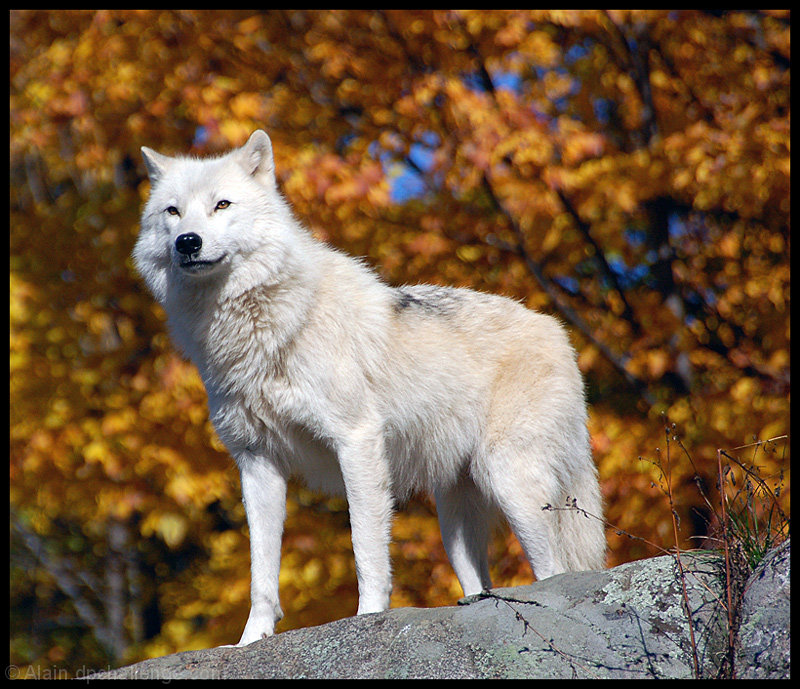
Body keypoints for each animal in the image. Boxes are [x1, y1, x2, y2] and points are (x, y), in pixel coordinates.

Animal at [133, 129, 608, 644]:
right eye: (173, 212)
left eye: (222, 204)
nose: (188, 242)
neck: (263, 327)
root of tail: (556, 330)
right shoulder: (257, 462)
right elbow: (261, 570)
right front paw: (251, 640)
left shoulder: (357, 441)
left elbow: (365, 545)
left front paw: (369, 618)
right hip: (454, 519)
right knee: (480, 582)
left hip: (512, 484)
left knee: (555, 569)